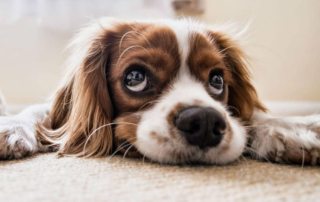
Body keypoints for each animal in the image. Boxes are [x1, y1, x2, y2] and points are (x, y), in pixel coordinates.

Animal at [0, 18, 320, 165]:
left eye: (217, 81)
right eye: (135, 77)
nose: (205, 122)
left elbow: (252, 115)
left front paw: (290, 128)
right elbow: (39, 112)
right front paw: (12, 126)